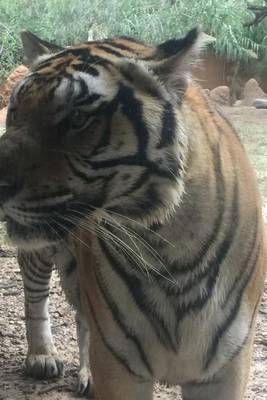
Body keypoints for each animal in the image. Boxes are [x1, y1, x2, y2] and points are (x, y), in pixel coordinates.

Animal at [0, 25, 266, 400]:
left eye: (78, 118)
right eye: (15, 112)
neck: (166, 242)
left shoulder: (226, 365)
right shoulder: (120, 362)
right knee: (35, 295)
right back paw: (41, 356)